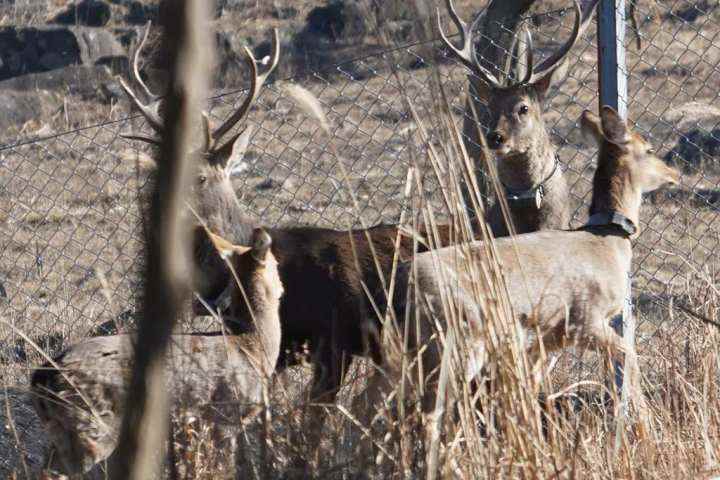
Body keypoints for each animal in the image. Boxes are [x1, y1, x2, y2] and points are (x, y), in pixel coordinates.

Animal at [31, 228, 284, 476]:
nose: (283, 286)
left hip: (64, 429)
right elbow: (223, 468)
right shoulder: (225, 416)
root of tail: (42, 378)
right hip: (92, 425)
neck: (252, 347)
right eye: (276, 262)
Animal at [366, 107, 680, 440]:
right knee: (429, 410)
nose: (675, 174)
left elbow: (529, 388)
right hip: (455, 340)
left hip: (402, 347)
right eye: (649, 149)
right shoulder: (585, 318)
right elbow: (628, 357)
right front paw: (647, 429)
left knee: (371, 400)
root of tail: (403, 282)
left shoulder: (549, 336)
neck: (607, 241)